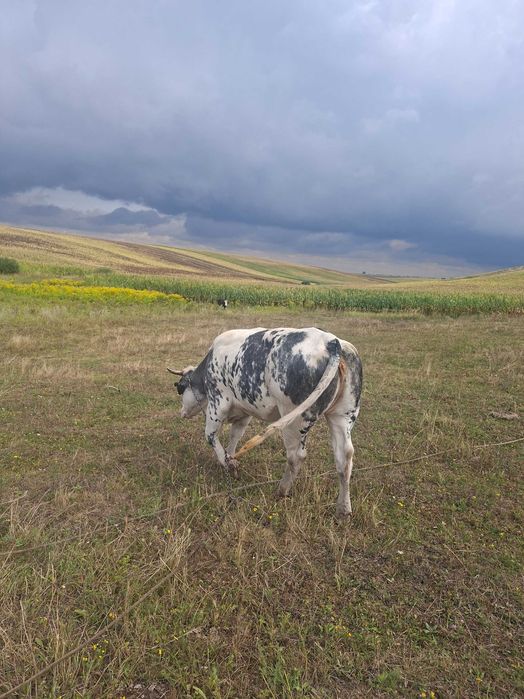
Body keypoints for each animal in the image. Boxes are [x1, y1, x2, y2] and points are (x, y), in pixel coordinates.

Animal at [169, 327, 362, 516]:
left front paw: (226, 462)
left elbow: (210, 435)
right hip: (343, 415)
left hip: (294, 419)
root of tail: (331, 342)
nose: (182, 412)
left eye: (180, 388)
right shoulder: (244, 412)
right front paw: (230, 458)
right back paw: (344, 509)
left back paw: (281, 490)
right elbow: (235, 436)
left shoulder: (218, 404)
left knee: (296, 456)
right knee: (344, 457)